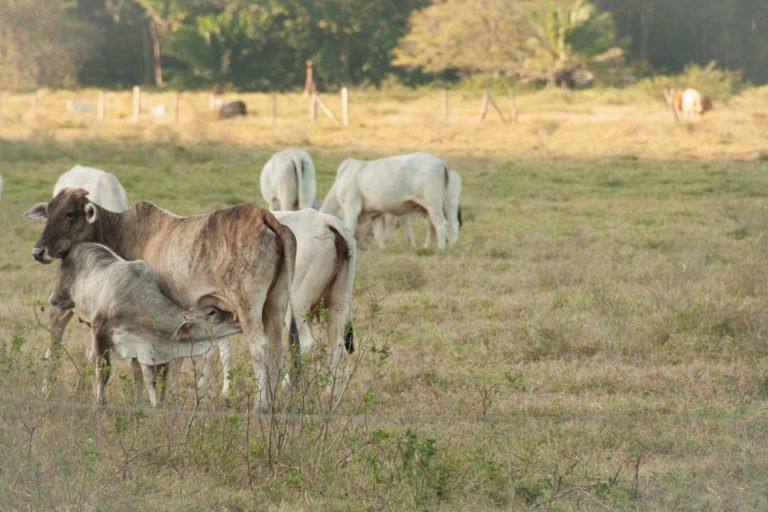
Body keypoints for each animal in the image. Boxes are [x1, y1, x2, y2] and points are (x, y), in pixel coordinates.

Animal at [204, 208, 360, 392]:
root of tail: (324, 220)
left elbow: (219, 350)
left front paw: (222, 389)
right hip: (338, 303)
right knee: (335, 345)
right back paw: (329, 391)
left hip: (296, 305)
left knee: (307, 344)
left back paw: (285, 386)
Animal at [320, 152, 460, 250]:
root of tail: (440, 162)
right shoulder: (375, 214)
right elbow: (379, 234)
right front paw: (382, 249)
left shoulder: (351, 208)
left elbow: (350, 229)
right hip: (448, 206)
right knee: (451, 225)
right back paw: (450, 247)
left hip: (433, 205)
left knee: (441, 225)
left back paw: (441, 249)